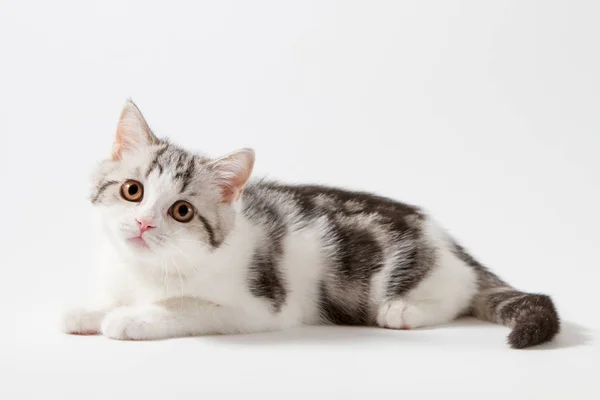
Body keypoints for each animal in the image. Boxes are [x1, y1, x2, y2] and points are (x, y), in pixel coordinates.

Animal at [58, 99, 560, 346]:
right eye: (132, 191)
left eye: (182, 211)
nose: (144, 224)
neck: (146, 270)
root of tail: (444, 236)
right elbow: (114, 297)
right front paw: (90, 310)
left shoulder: (260, 307)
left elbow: (186, 307)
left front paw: (132, 318)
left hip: (403, 274)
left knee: (457, 292)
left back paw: (404, 310)